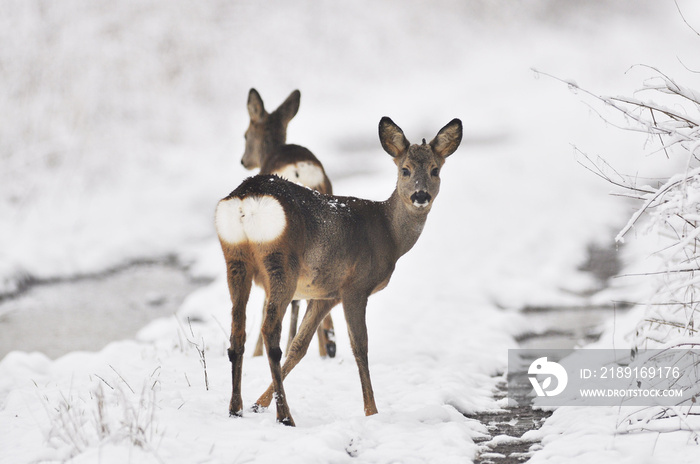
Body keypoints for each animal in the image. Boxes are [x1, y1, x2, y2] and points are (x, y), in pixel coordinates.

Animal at [216, 115, 462, 424]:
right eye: (405, 170)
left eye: (435, 170)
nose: (420, 195)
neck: (388, 234)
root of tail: (245, 198)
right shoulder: (355, 287)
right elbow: (360, 346)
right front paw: (371, 411)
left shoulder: (325, 294)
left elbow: (300, 347)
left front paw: (258, 404)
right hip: (281, 263)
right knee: (270, 331)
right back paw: (285, 417)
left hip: (234, 258)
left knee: (238, 332)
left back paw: (235, 409)